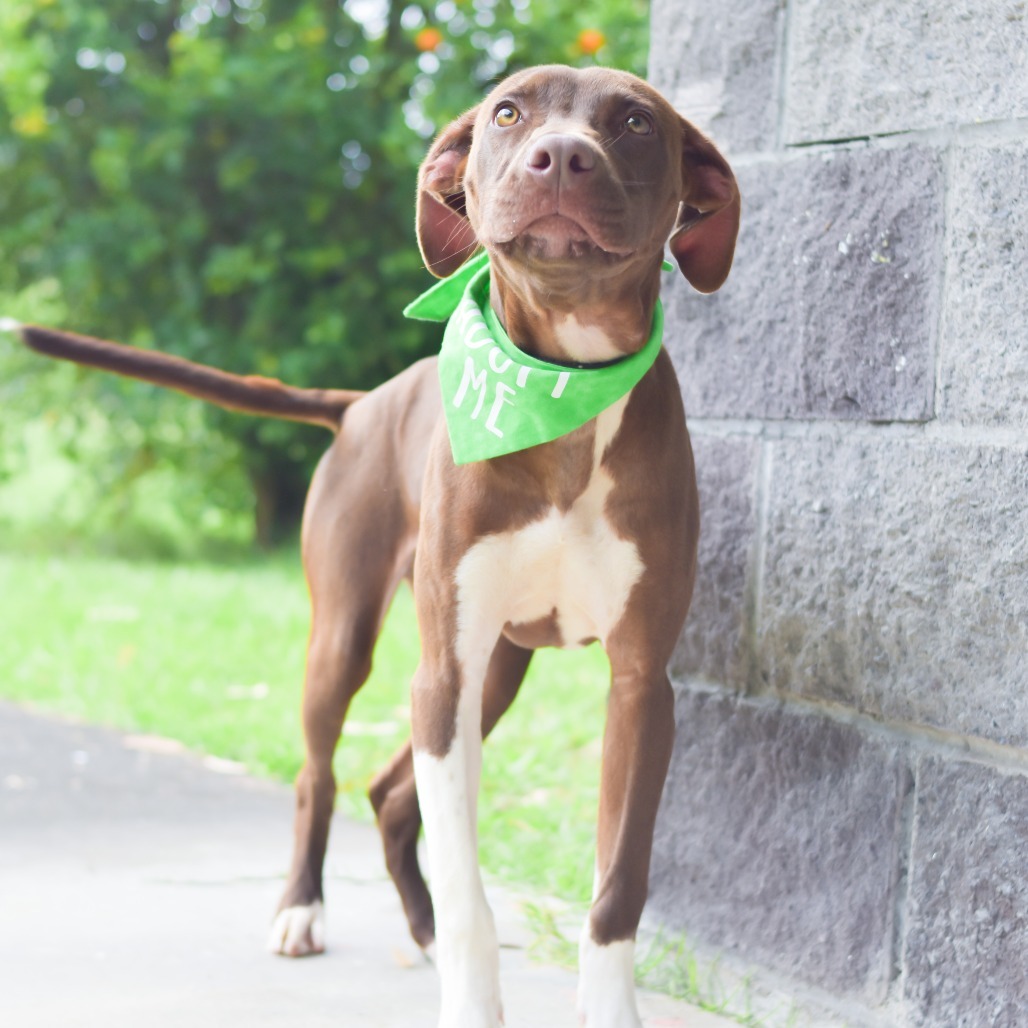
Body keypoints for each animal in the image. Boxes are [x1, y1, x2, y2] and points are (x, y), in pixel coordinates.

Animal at [16, 66, 740, 1028]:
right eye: (508, 112)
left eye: (634, 122)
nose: (560, 156)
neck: (559, 390)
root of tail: (359, 403)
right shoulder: (444, 672)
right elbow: (471, 891)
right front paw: (470, 1001)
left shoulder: (639, 686)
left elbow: (617, 887)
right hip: (353, 641)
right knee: (318, 777)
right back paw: (301, 911)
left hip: (494, 669)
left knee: (392, 795)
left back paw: (417, 931)